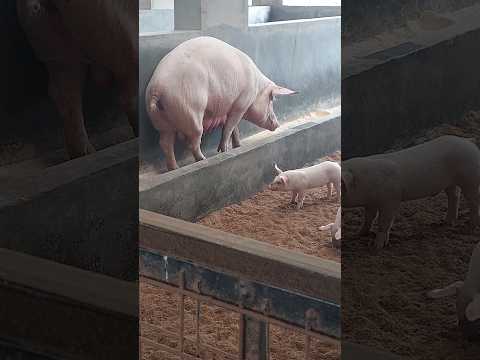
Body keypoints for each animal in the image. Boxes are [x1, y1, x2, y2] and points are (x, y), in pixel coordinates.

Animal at [145, 36, 296, 170]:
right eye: (271, 99)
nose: (277, 124)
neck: (256, 88)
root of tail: (156, 89)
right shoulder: (241, 103)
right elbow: (229, 128)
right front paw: (225, 150)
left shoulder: (231, 107)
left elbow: (235, 129)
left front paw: (238, 146)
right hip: (190, 110)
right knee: (192, 141)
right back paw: (203, 159)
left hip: (162, 123)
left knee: (165, 144)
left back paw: (174, 168)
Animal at [342, 134, 480, 248]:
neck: (365, 182)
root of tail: (469, 141)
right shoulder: (371, 202)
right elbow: (368, 218)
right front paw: (358, 234)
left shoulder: (391, 199)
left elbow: (384, 222)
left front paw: (376, 247)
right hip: (450, 183)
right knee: (454, 195)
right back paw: (445, 223)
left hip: (470, 178)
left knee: (473, 201)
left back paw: (468, 229)